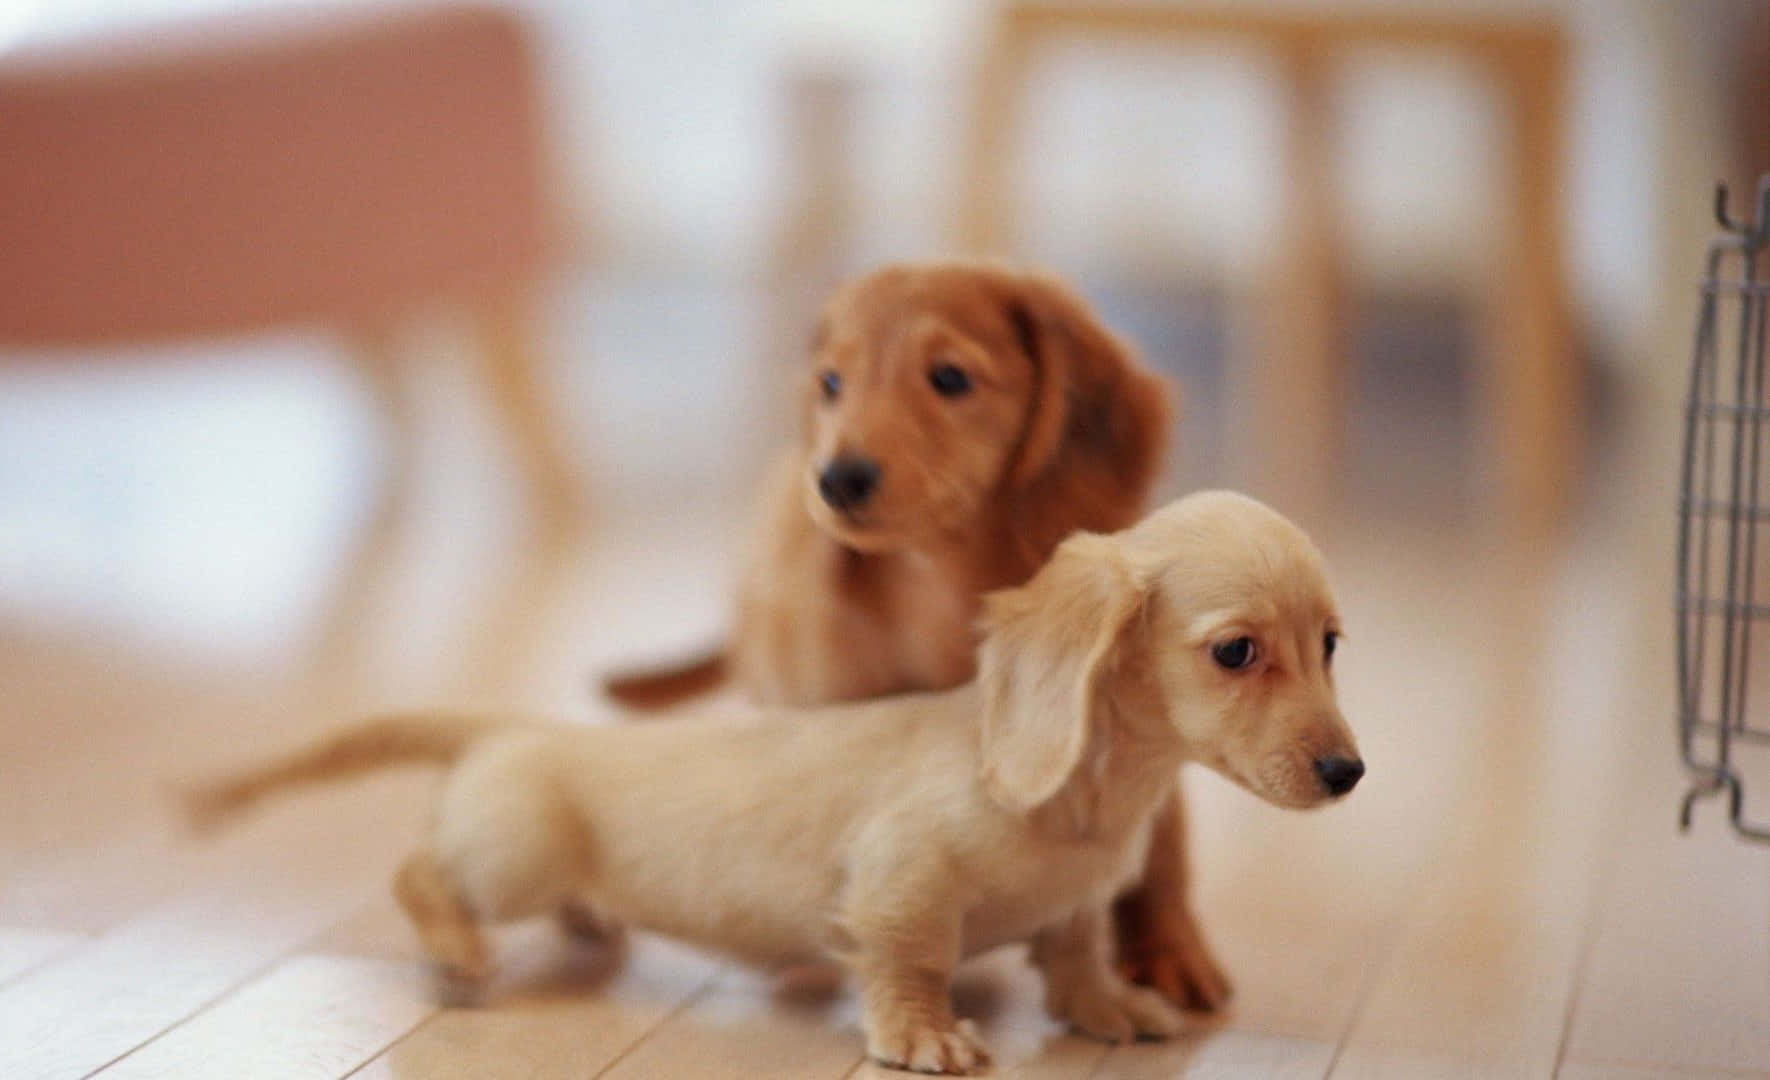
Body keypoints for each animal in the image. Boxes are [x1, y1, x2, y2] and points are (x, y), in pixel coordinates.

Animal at [186, 492, 1359, 1069]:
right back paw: (459, 950)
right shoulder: (902, 887)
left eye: (1331, 643)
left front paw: (1109, 1007)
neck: (1093, 796)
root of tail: (515, 727)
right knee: (418, 875)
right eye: (1236, 651)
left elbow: (1074, 952)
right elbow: (913, 961)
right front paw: (922, 1035)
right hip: (511, 857)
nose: (1349, 773)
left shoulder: (1075, 905)